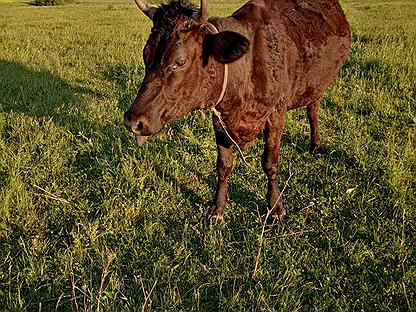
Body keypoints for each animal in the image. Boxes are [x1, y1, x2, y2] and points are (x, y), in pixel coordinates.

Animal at [123, 0, 352, 224]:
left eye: (179, 61)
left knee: (313, 110)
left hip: (319, 84)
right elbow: (223, 166)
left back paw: (316, 145)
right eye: (145, 55)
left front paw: (275, 207)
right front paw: (217, 209)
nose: (133, 121)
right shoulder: (220, 119)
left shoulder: (276, 114)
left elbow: (270, 163)